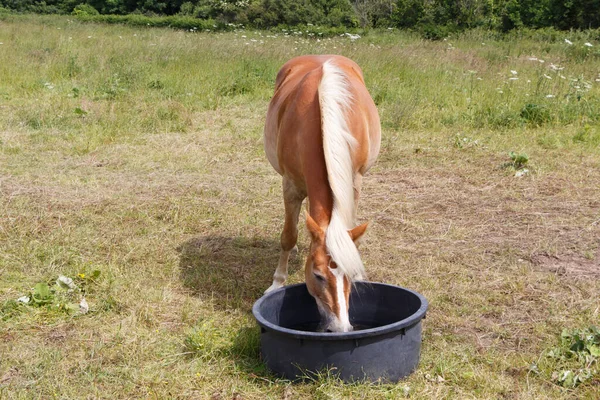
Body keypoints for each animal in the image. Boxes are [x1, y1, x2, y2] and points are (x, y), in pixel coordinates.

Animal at [262, 54, 380, 332]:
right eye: (317, 275)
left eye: (349, 276)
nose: (340, 328)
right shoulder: (290, 186)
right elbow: (288, 236)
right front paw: (277, 282)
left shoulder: (354, 184)